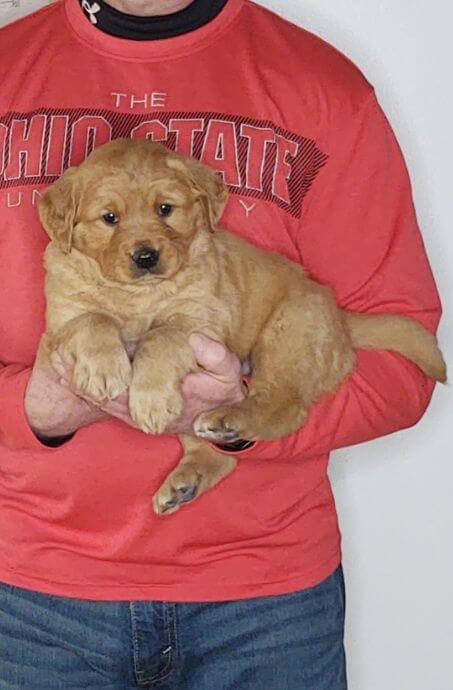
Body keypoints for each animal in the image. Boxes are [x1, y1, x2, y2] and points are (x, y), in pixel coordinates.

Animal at [36, 138, 444, 510]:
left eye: (165, 209)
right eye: (109, 218)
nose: (147, 257)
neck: (137, 295)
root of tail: (341, 319)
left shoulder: (201, 318)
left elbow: (161, 336)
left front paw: (149, 398)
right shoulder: (61, 317)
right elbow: (93, 318)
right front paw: (105, 369)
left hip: (288, 334)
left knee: (286, 407)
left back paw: (227, 419)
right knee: (224, 455)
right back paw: (187, 481)